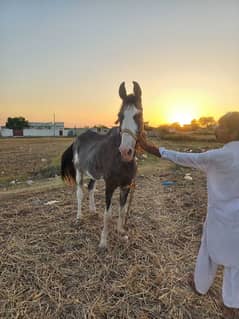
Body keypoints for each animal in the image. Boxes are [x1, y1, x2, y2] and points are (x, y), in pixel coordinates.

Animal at [61, 80, 144, 250]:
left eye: (138, 115)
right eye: (120, 116)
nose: (126, 151)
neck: (121, 161)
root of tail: (78, 138)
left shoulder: (126, 186)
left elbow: (122, 210)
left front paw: (121, 232)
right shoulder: (110, 185)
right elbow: (108, 214)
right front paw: (103, 242)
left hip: (94, 173)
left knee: (90, 188)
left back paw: (93, 211)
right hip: (79, 172)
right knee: (80, 193)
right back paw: (79, 217)